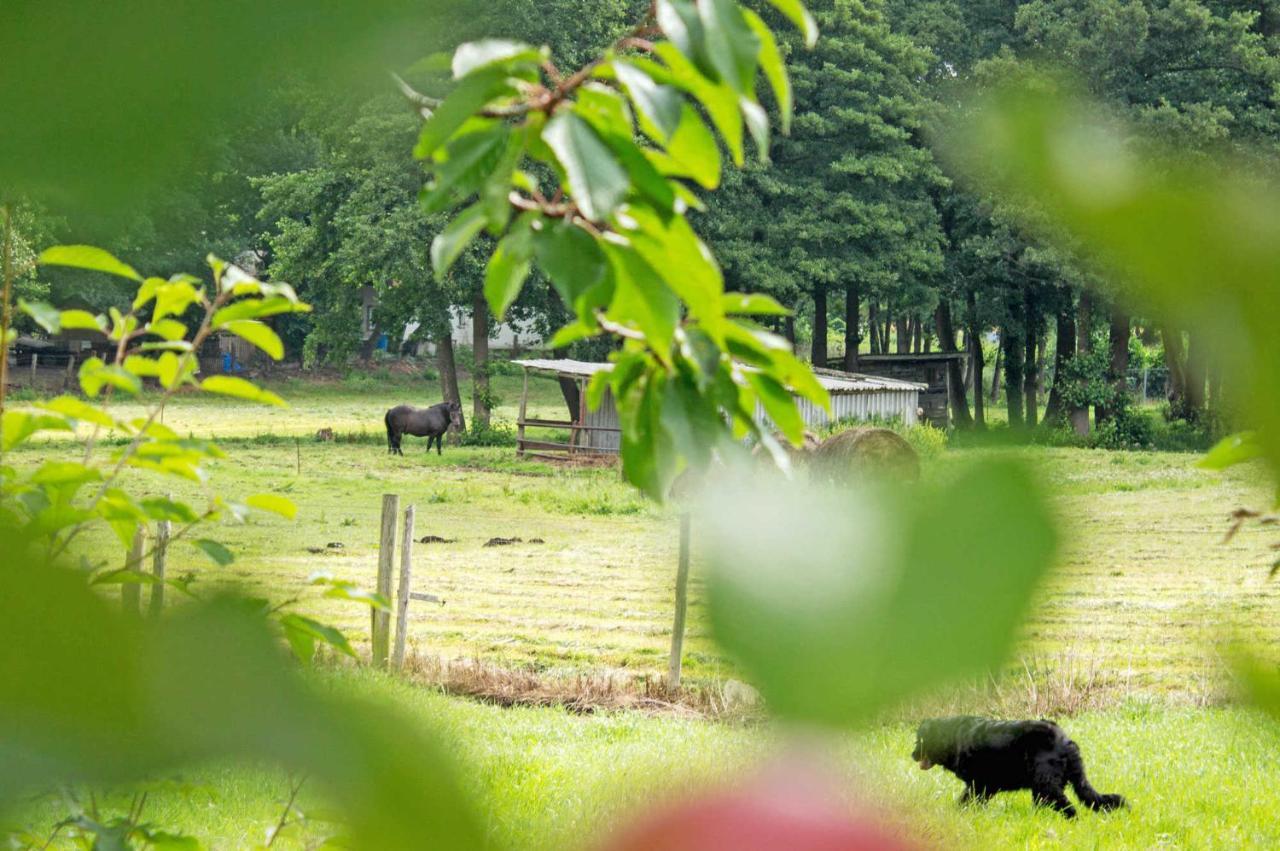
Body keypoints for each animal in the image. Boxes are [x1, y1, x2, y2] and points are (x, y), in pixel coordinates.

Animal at [911, 716, 1131, 819]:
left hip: (1046, 785)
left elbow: (966, 800)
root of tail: (1066, 742)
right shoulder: (984, 787)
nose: (912, 755)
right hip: (1043, 788)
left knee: (1069, 808)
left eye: (920, 740)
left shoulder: (979, 784)